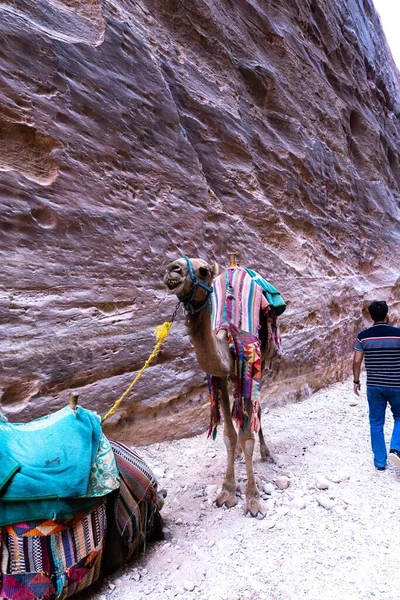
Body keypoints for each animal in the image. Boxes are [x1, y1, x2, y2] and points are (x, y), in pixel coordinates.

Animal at [163, 255, 276, 516]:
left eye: (203, 271)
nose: (173, 269)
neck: (228, 341)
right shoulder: (219, 378)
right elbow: (228, 435)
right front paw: (227, 491)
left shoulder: (249, 367)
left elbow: (246, 437)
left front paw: (253, 499)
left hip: (262, 359)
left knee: (258, 412)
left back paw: (266, 453)